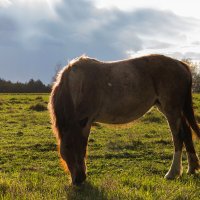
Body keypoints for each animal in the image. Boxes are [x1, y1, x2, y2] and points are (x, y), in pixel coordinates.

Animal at [48, 54, 200, 185]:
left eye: (70, 147)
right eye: (64, 152)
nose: (78, 180)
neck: (76, 86)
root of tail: (181, 64)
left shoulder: (84, 122)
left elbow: (83, 146)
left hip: (171, 110)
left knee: (178, 137)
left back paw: (172, 173)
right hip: (170, 109)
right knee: (186, 132)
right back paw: (192, 168)